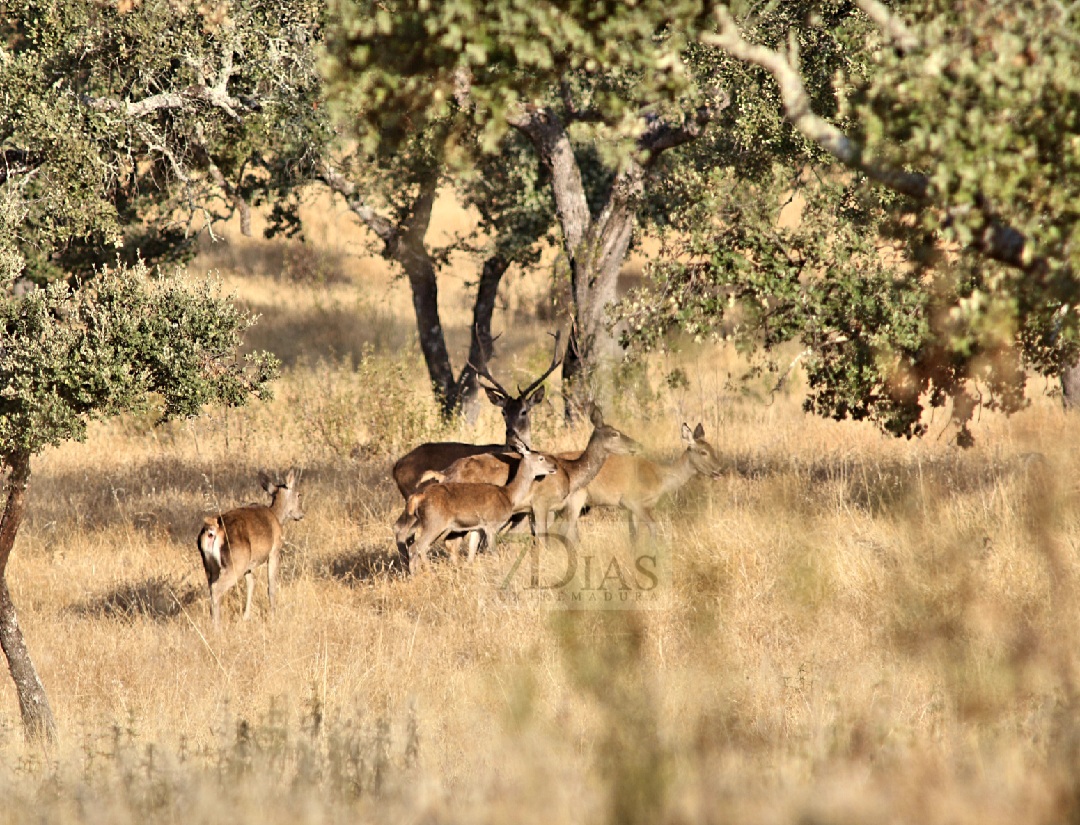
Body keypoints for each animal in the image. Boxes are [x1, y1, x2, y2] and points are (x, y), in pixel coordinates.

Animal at [194, 466, 302, 626]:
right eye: (299, 494)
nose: (301, 515)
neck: (277, 516)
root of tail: (212, 529)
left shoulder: (249, 564)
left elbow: (251, 584)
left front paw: (246, 616)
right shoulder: (274, 551)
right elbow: (271, 586)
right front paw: (273, 615)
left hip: (210, 565)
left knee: (211, 587)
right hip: (236, 561)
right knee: (217, 588)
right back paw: (217, 627)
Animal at [395, 444, 557, 574]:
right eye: (541, 458)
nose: (554, 467)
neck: (508, 495)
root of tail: (419, 496)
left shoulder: (477, 527)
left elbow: (472, 550)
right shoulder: (491, 525)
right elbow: (492, 551)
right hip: (434, 522)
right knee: (417, 546)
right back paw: (424, 574)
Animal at [434, 403, 639, 544]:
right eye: (614, 433)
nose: (636, 445)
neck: (570, 473)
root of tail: (445, 474)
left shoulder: (533, 511)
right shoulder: (544, 505)